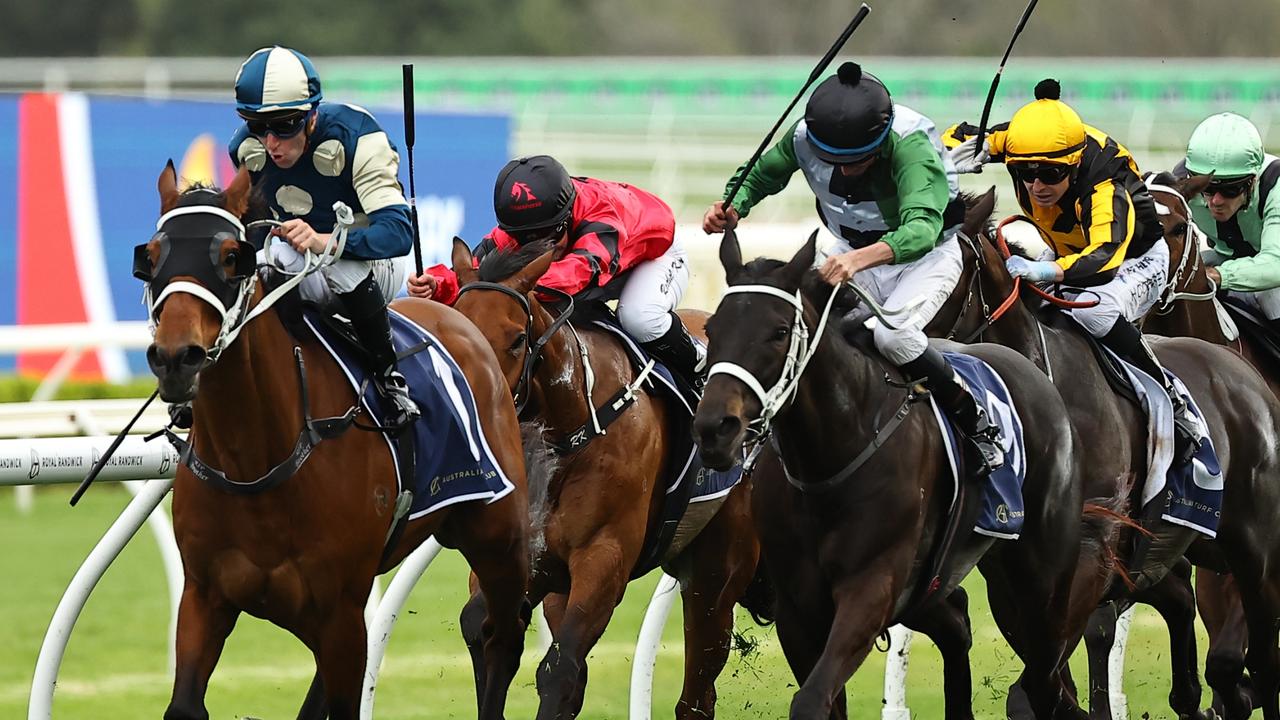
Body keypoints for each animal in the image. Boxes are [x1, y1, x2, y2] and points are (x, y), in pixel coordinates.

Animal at [445, 238, 762, 712]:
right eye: (458, 329)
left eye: (517, 339)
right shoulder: (526, 561)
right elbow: (486, 633)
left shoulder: (604, 558)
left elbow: (558, 669)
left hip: (716, 572)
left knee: (698, 691)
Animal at [691, 229, 1090, 717]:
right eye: (712, 328)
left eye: (779, 331)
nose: (715, 428)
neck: (830, 457)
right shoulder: (798, 610)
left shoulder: (872, 588)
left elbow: (811, 699)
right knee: (960, 625)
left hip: (1041, 582)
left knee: (1045, 673)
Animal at [942, 196, 1280, 717]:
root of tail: (1243, 374)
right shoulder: (1011, 577)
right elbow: (1041, 682)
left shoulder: (1093, 551)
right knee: (1184, 605)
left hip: (1250, 547)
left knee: (1262, 656)